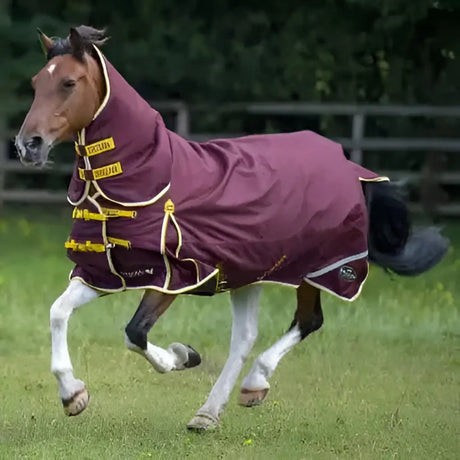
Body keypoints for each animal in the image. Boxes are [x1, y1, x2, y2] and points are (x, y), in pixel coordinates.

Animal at [15, 26, 450, 432]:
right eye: (36, 83)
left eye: (69, 83)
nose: (27, 146)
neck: (146, 181)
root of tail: (350, 167)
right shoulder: (108, 272)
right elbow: (58, 312)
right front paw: (73, 395)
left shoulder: (174, 275)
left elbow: (134, 333)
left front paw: (182, 356)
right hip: (248, 272)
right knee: (245, 337)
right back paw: (207, 414)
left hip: (318, 269)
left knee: (307, 322)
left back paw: (253, 386)